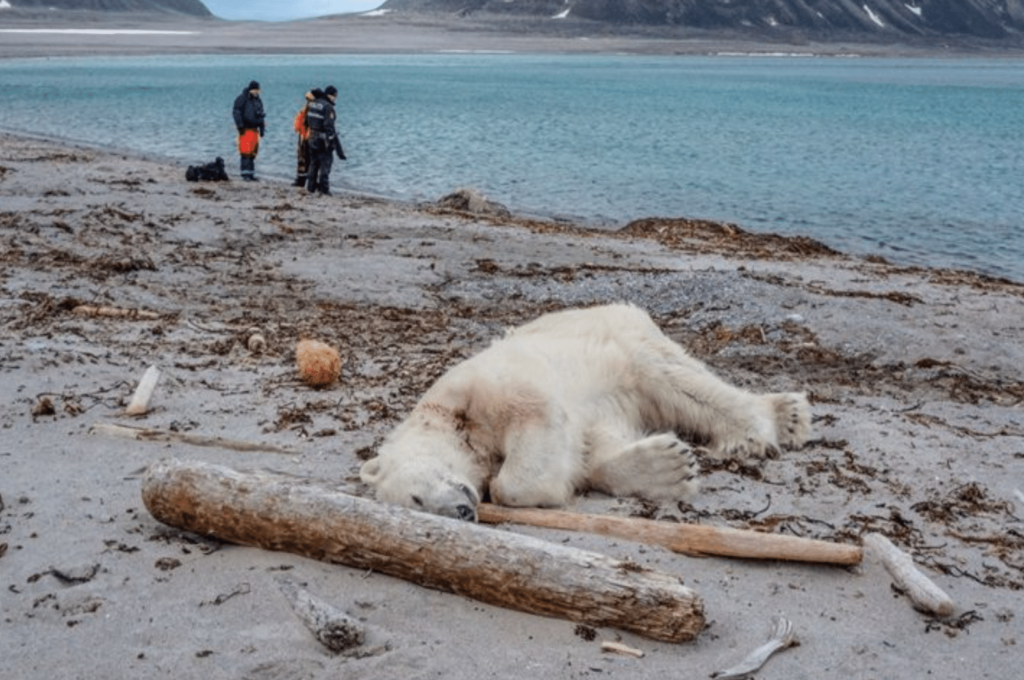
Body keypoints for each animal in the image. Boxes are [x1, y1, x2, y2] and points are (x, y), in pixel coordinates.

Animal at [360, 303, 806, 520]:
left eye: (416, 497)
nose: (462, 511)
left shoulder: (481, 388)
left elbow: (531, 428)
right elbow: (593, 446)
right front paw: (668, 467)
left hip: (622, 340)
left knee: (675, 379)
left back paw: (776, 420)